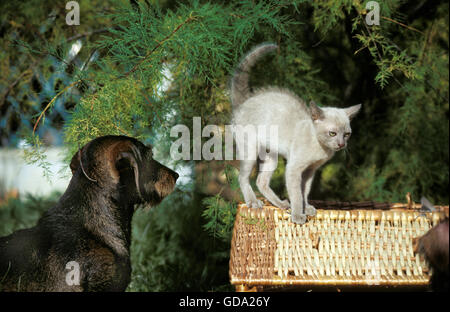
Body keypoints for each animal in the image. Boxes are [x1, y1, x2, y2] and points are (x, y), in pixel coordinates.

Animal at [230, 44, 360, 224]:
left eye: (347, 134)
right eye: (332, 133)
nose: (341, 144)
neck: (321, 149)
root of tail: (244, 102)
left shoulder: (310, 171)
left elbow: (304, 191)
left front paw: (307, 208)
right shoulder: (294, 168)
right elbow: (297, 194)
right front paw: (298, 215)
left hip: (271, 157)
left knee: (261, 181)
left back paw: (281, 204)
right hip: (250, 151)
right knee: (243, 177)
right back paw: (253, 202)